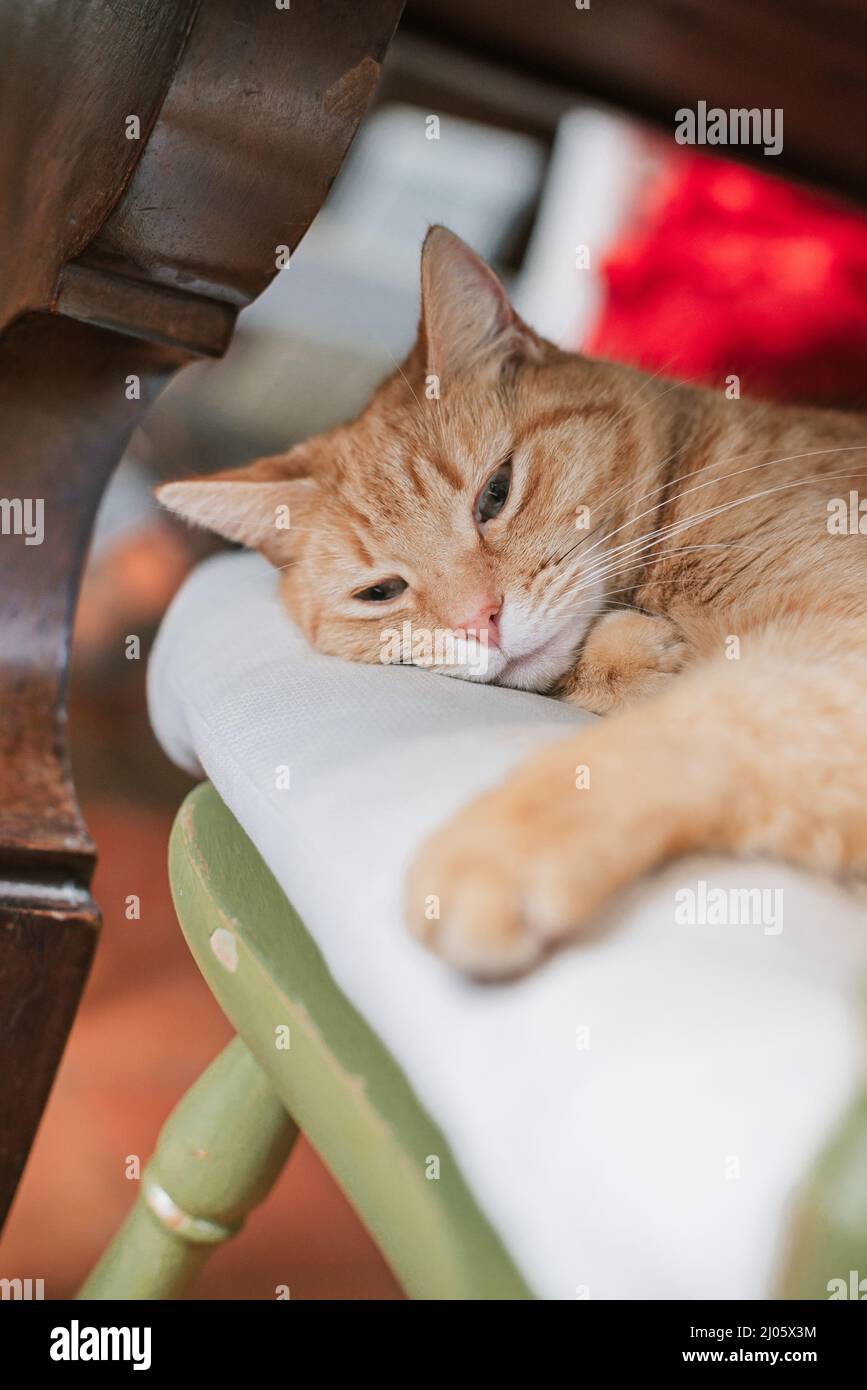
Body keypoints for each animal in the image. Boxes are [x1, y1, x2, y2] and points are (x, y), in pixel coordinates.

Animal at [159, 225, 867, 978]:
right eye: (382, 592)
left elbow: (715, 720)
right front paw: (631, 658)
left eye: (495, 493)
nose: (483, 621)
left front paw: (505, 844)